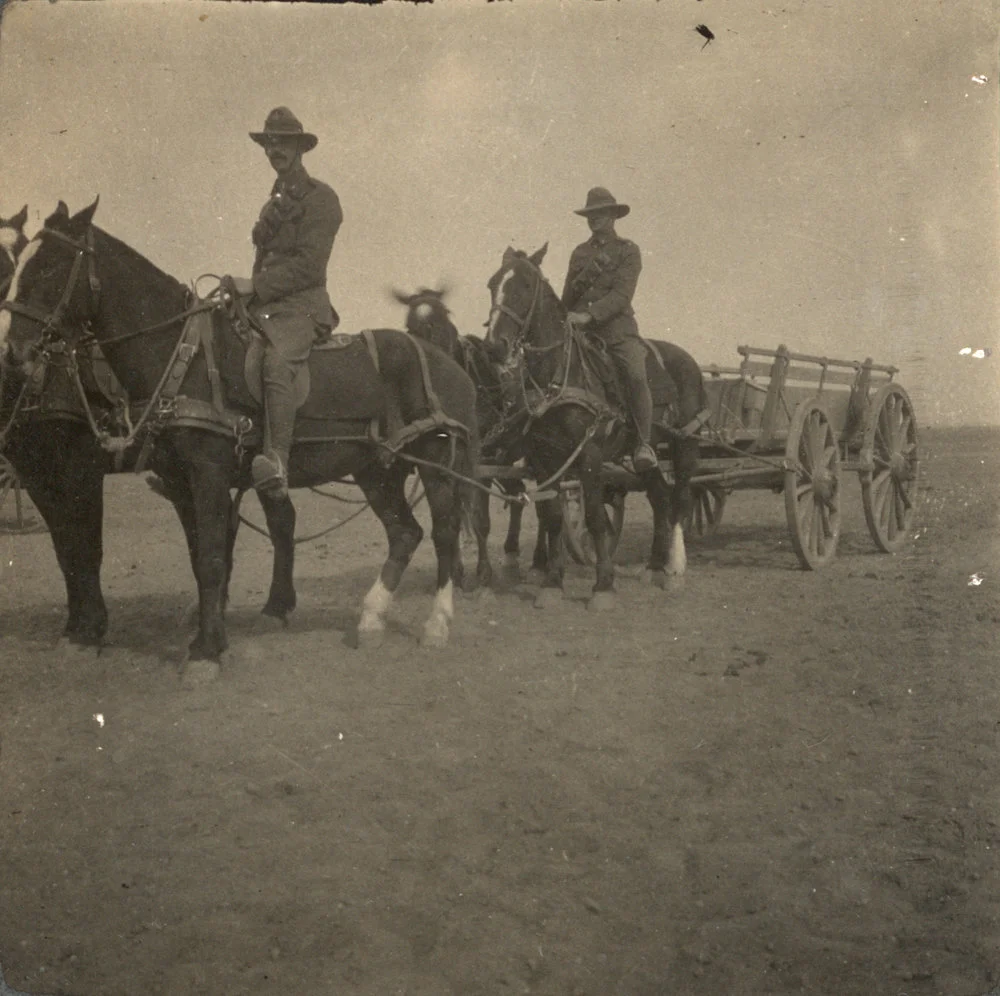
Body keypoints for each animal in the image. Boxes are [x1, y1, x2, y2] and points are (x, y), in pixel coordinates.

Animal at [2, 200, 480, 676]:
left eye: (48, 266)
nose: (13, 351)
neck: (182, 358)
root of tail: (450, 364)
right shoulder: (175, 479)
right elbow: (192, 556)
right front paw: (204, 632)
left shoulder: (195, 473)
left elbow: (204, 557)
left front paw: (203, 650)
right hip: (377, 470)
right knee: (404, 533)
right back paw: (370, 618)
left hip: (437, 464)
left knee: (444, 532)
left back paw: (436, 624)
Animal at [390, 284, 552, 588]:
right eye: (410, 327)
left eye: (445, 317)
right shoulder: (441, 466)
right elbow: (450, 517)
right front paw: (455, 571)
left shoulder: (479, 464)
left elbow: (479, 519)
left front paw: (483, 571)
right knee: (518, 493)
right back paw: (512, 555)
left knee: (546, 502)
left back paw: (540, 559)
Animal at [482, 247, 704, 608]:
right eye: (492, 284)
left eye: (526, 285)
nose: (495, 346)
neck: (560, 374)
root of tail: (690, 362)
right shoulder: (544, 459)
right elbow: (553, 517)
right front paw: (552, 583)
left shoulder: (589, 455)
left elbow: (596, 519)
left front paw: (603, 586)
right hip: (645, 456)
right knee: (660, 497)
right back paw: (653, 567)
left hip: (686, 446)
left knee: (681, 498)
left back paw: (674, 569)